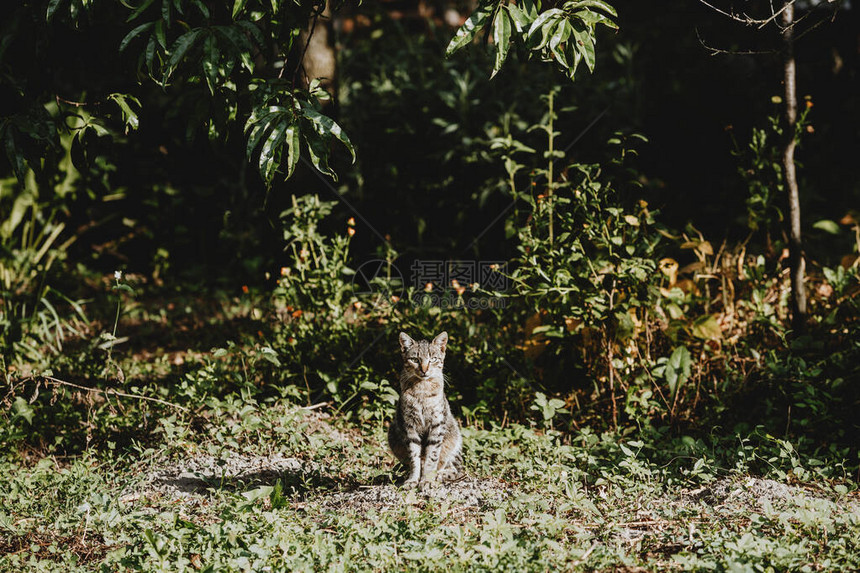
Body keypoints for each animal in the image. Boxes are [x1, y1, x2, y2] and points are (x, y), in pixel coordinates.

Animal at [390, 330, 464, 482]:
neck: (422, 389)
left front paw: (427, 480)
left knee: (455, 469)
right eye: (415, 360)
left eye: (433, 359)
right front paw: (413, 480)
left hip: (454, 437)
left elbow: (432, 456)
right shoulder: (409, 426)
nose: (424, 370)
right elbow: (414, 457)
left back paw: (439, 475)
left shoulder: (437, 424)